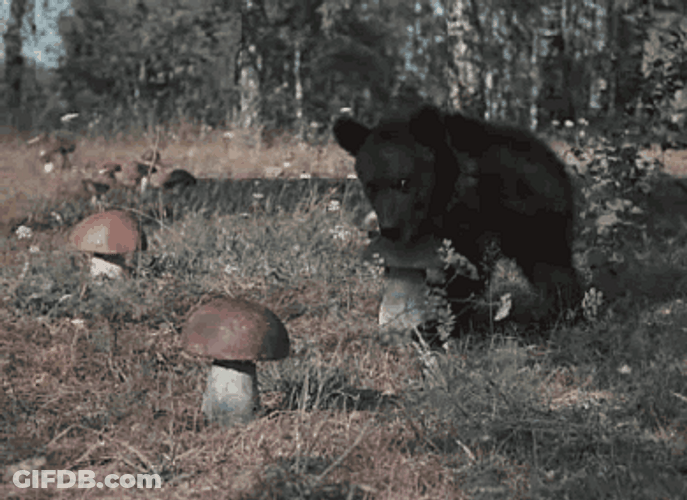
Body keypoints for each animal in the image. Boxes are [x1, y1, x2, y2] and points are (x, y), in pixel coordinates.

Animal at [333, 105, 580, 331]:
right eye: (371, 186)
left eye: (403, 181)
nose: (389, 228)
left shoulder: (471, 215)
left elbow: (464, 269)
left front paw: (440, 323)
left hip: (535, 217)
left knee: (550, 265)